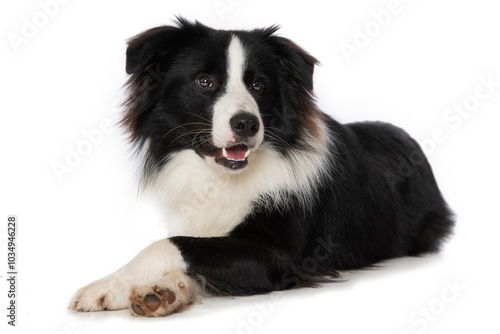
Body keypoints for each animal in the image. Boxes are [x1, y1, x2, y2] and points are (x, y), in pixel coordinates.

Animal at [68, 17, 456, 316]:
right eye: (204, 81)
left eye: (258, 85)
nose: (247, 124)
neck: (221, 176)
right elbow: (192, 252)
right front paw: (164, 291)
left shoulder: (280, 259)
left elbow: (171, 244)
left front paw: (108, 285)